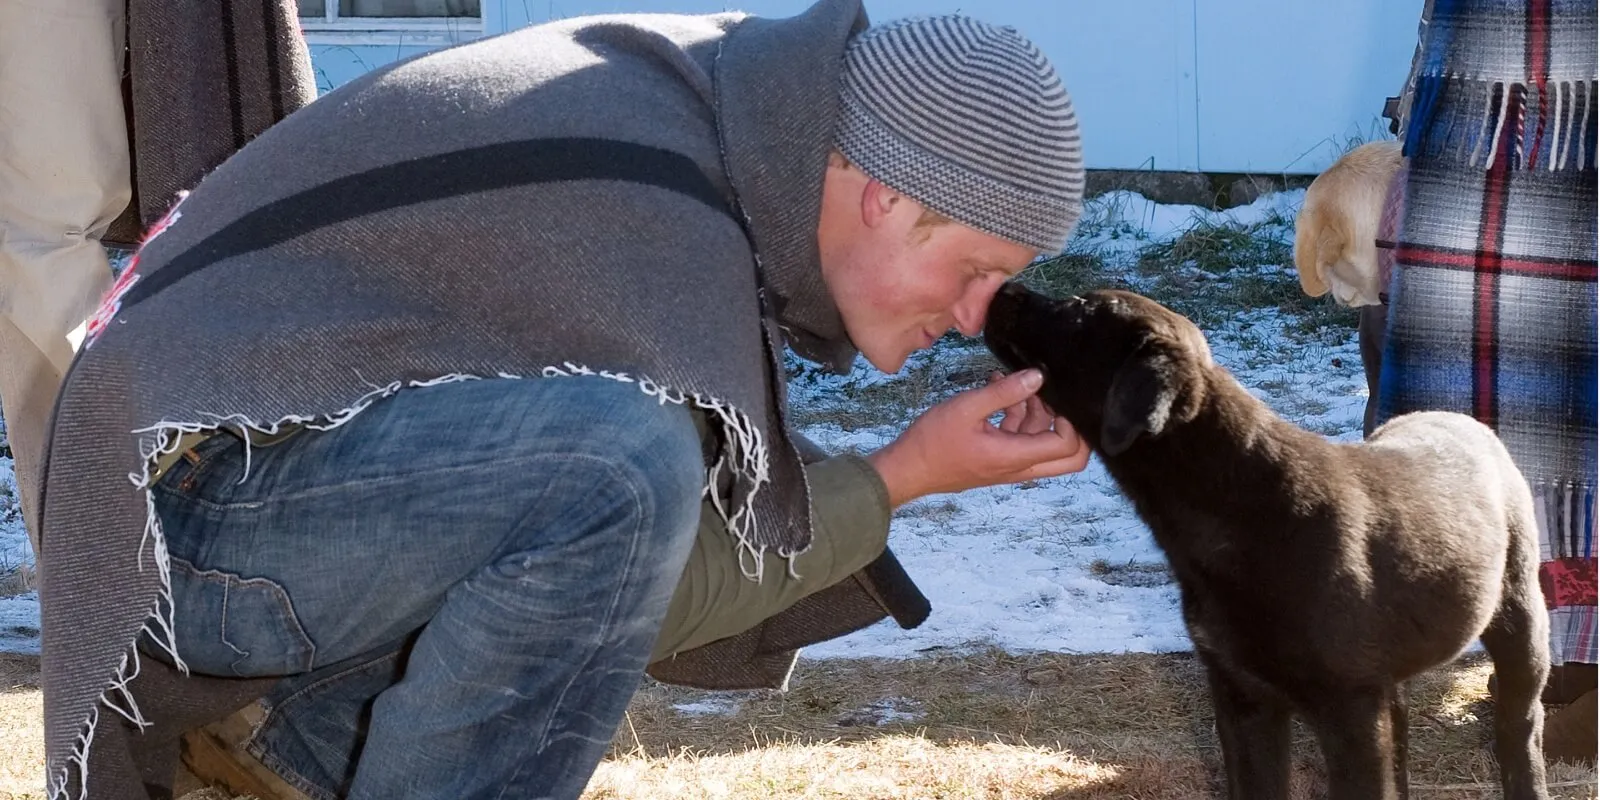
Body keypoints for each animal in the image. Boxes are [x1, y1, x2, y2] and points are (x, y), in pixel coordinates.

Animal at [985, 283, 1548, 800]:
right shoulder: (1242, 696)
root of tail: (1459, 418)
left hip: (1520, 615)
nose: (1002, 289)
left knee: (1519, 726)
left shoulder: (1350, 709)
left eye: (1079, 309)